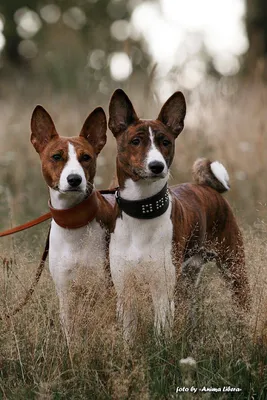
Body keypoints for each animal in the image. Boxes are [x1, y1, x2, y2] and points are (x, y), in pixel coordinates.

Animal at [108, 89, 251, 342]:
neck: (142, 210)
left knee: (244, 305)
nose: (157, 166)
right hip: (186, 280)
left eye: (165, 142)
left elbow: (161, 338)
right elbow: (129, 340)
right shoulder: (125, 291)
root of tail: (206, 187)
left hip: (234, 267)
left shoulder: (162, 290)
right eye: (136, 141)